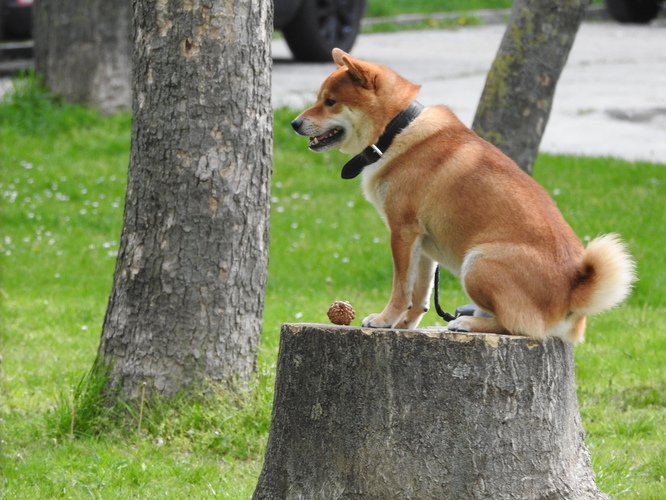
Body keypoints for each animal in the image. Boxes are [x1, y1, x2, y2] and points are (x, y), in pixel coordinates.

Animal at [290, 47, 632, 344]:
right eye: (320, 98)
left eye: (330, 101)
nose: (294, 123)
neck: (396, 131)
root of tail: (573, 292)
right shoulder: (422, 244)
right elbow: (419, 295)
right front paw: (404, 326)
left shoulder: (402, 232)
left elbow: (401, 288)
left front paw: (385, 320)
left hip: (478, 263)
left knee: (519, 327)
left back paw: (467, 323)